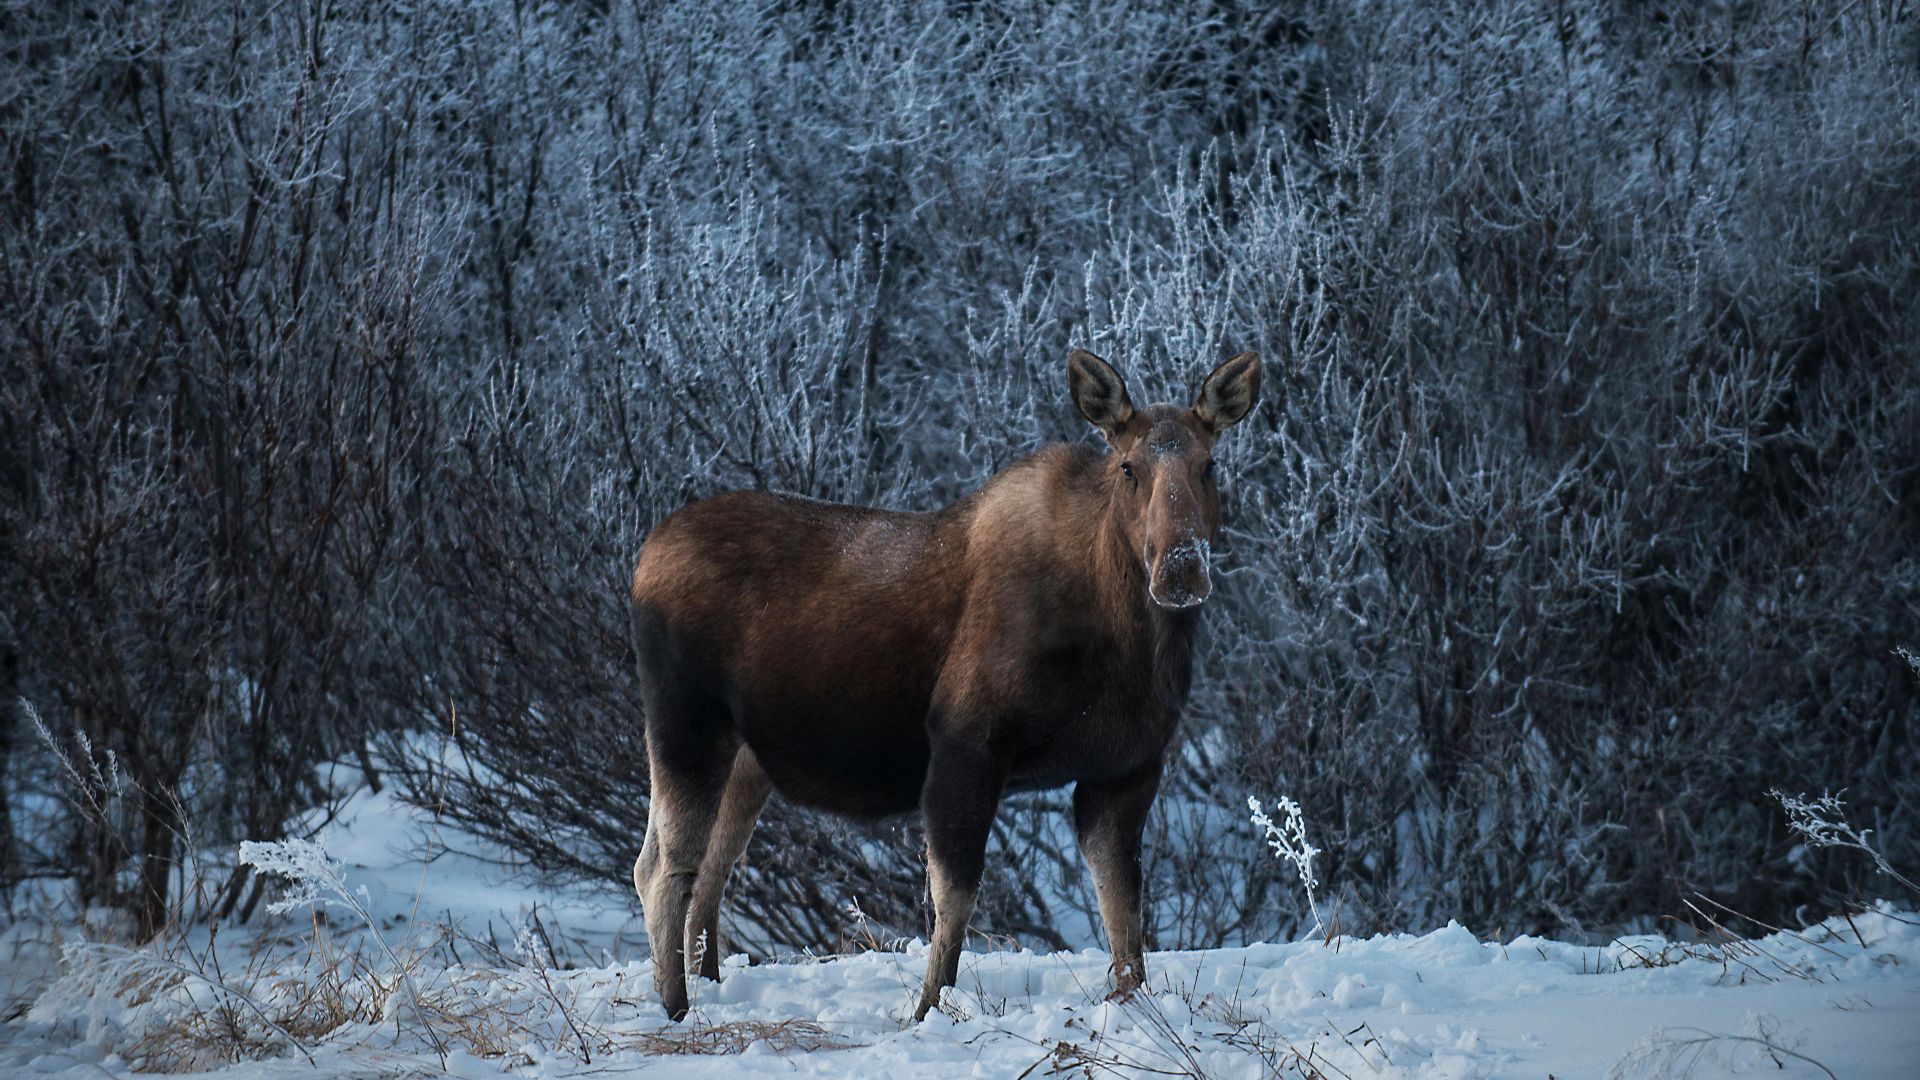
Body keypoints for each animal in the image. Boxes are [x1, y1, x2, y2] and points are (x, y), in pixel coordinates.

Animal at [628, 349, 1261, 1021]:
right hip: (684, 724)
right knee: (664, 867)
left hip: (744, 760)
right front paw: (928, 1010)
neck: (1128, 641)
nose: (1180, 568)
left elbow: (1124, 915)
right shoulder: (966, 745)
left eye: (1210, 464)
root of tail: (642, 560)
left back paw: (708, 985)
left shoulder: (1124, 769)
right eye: (1128, 467)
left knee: (705, 867)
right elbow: (954, 900)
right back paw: (675, 1009)